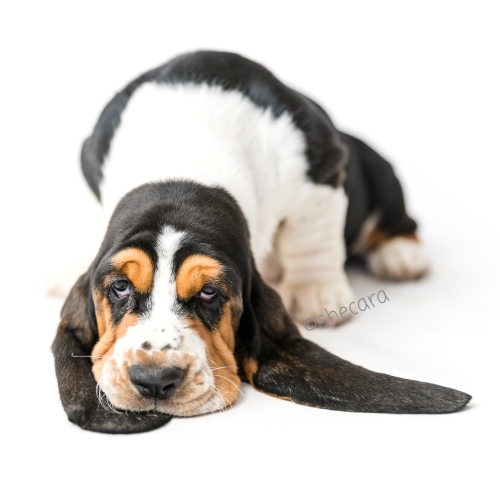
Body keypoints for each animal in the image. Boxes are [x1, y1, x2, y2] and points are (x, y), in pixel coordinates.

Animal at [52, 51, 470, 434]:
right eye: (120, 287)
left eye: (209, 293)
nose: (155, 380)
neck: (184, 169)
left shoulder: (324, 170)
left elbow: (312, 237)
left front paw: (318, 292)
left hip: (376, 170)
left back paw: (401, 254)